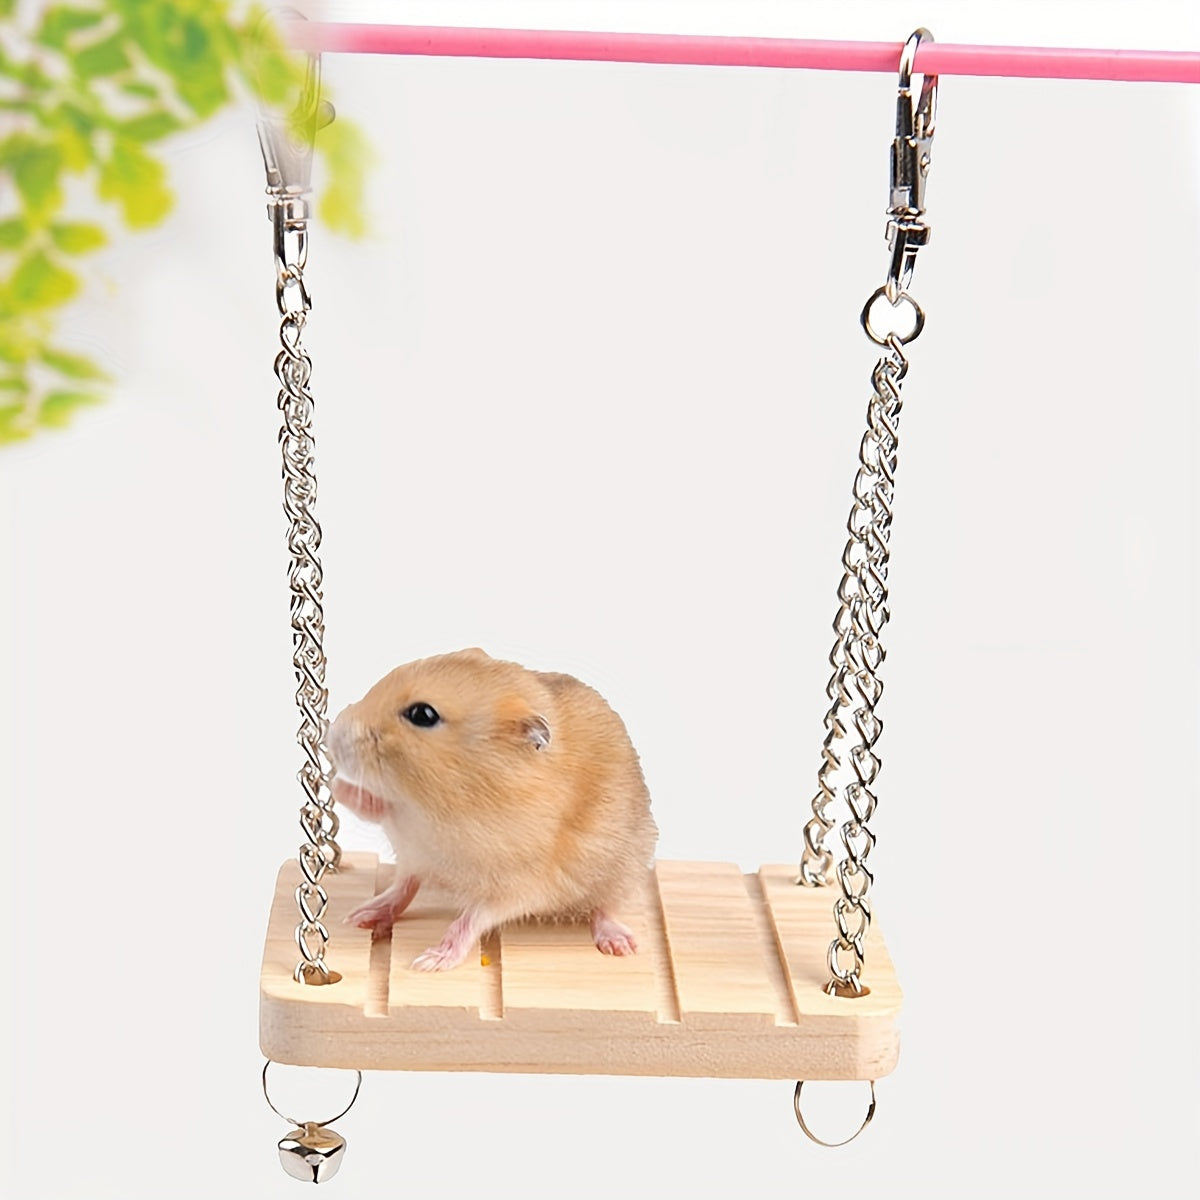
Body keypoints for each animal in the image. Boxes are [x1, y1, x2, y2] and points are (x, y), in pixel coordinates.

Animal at [326, 648, 658, 972]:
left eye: (422, 714)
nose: (332, 733)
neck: (439, 803)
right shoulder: (405, 828)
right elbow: (375, 810)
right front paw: (335, 784)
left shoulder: (518, 886)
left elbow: (470, 920)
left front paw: (429, 962)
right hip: (414, 860)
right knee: (403, 887)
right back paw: (360, 915)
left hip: (622, 872)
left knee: (606, 907)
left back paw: (619, 945)